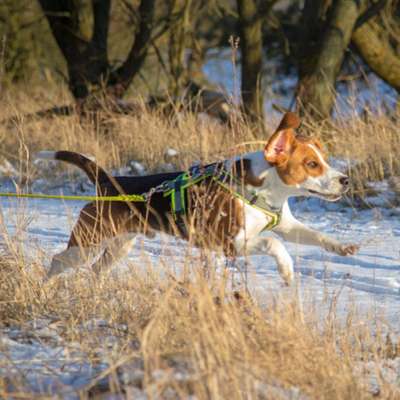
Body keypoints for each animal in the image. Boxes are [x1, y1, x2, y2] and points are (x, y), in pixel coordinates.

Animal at [39, 112, 360, 284]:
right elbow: (273, 243)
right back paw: (45, 288)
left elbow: (315, 235)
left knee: (96, 270)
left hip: (120, 245)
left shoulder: (286, 225)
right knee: (58, 260)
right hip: (87, 242)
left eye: (323, 160)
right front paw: (286, 269)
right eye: (311, 164)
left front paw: (342, 246)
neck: (262, 190)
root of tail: (107, 180)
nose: (346, 180)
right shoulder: (230, 243)